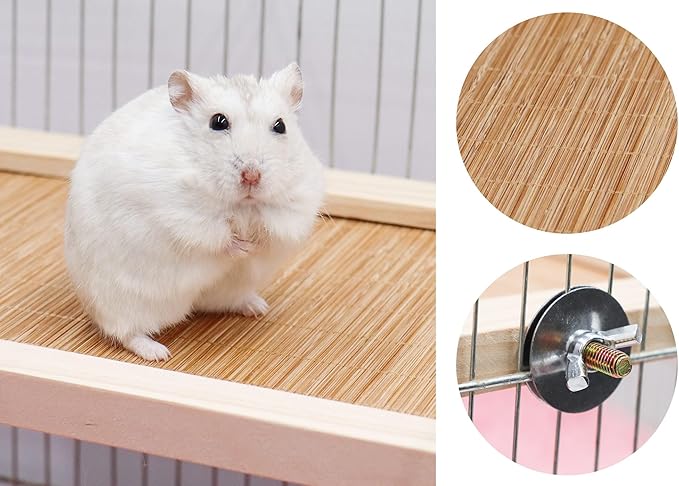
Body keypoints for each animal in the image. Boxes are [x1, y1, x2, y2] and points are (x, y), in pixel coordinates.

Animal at [64, 63, 324, 361]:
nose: (251, 175)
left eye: (280, 125)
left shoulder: (296, 204)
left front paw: (255, 243)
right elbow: (215, 237)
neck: (243, 205)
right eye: (218, 122)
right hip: (122, 302)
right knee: (125, 333)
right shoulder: (181, 213)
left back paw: (258, 307)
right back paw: (158, 353)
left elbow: (272, 228)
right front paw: (243, 247)